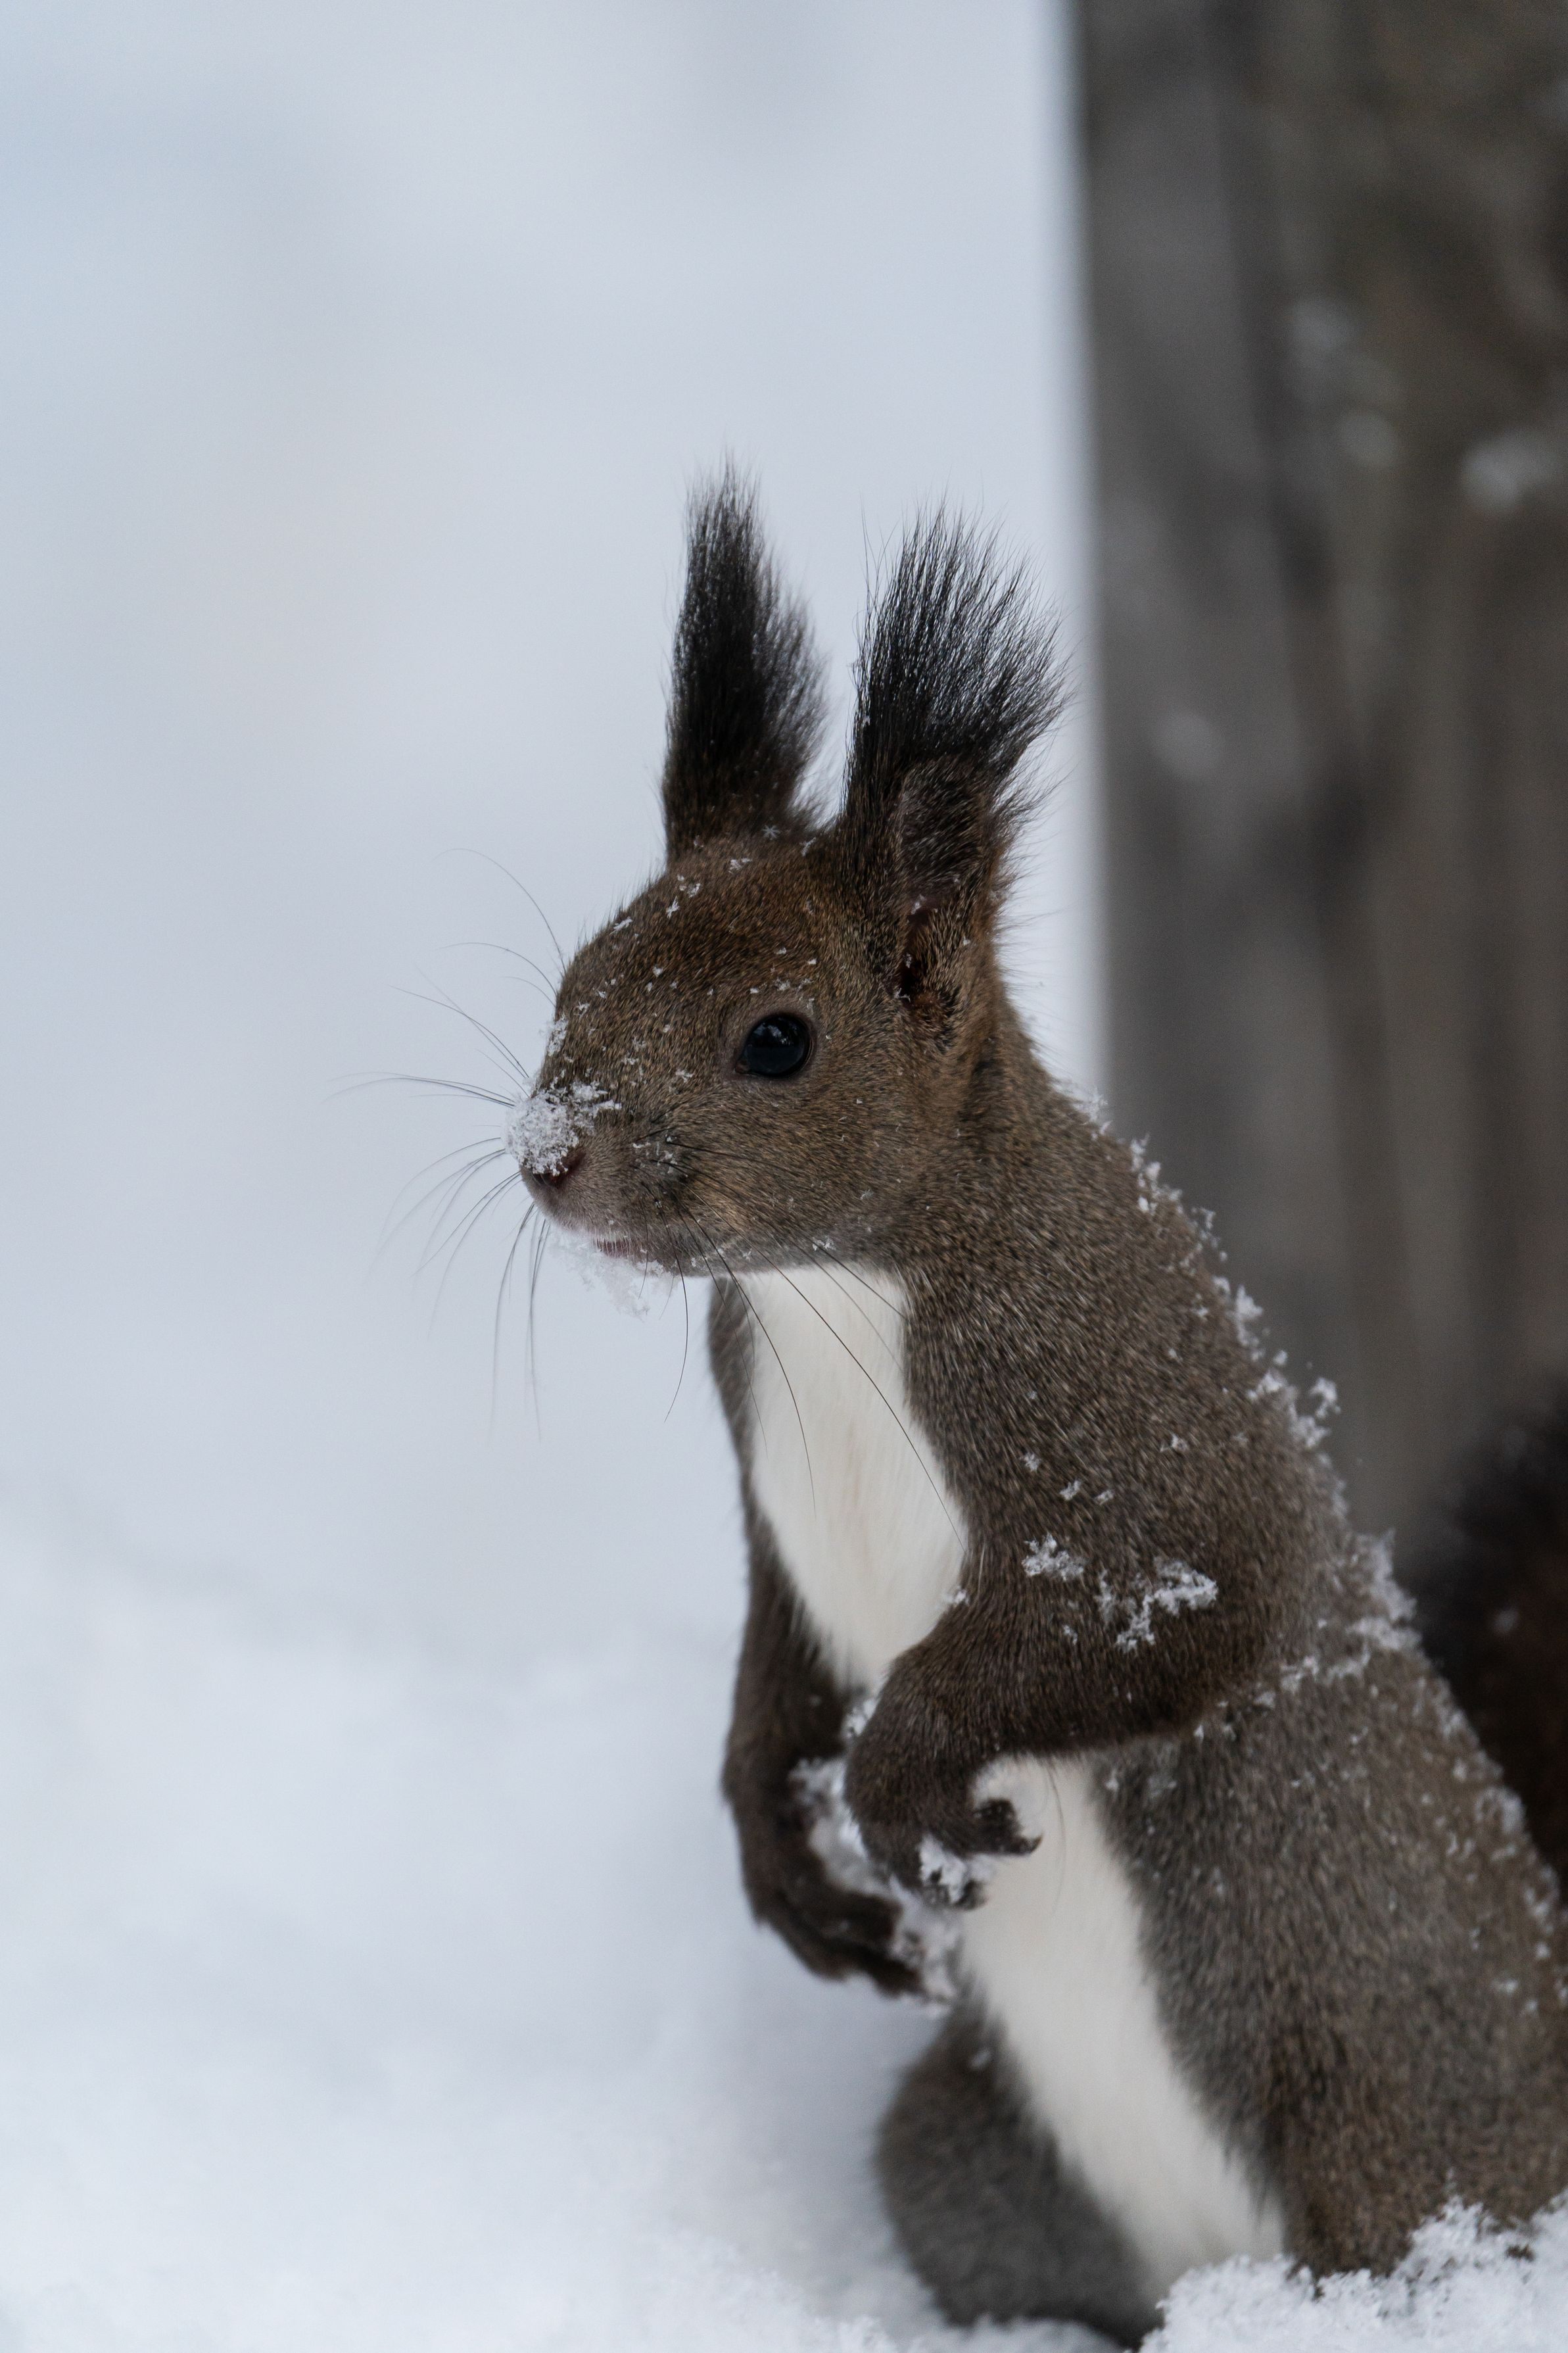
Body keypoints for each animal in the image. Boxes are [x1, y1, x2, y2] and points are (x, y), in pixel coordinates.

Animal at [508, 473, 1568, 2345]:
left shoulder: (1130, 1436)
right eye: (578, 976)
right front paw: (782, 1851)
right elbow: (774, 1667)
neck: (839, 1294)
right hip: (970, 2156)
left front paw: (899, 1774)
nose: (549, 1155)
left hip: (1390, 2135)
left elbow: (1176, 1619)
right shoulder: (769, 1502)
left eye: (775, 1038)